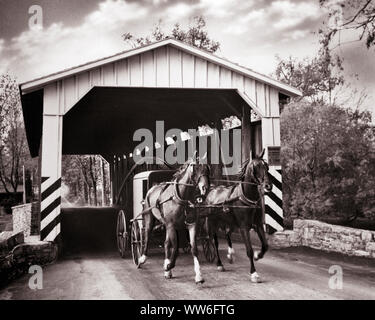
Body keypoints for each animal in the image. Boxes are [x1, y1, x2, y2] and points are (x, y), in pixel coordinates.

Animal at [137, 154, 210, 284]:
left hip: (166, 224)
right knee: (147, 235)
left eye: (207, 168)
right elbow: (175, 247)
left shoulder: (191, 224)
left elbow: (193, 248)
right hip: (149, 217)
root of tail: (152, 187)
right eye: (195, 167)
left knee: (166, 243)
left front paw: (198, 275)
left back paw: (167, 269)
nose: (204, 187)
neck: (180, 197)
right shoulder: (172, 225)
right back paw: (142, 259)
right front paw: (169, 265)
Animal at [203, 149, 274, 282]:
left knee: (227, 233)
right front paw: (254, 273)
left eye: (266, 166)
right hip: (213, 222)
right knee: (213, 241)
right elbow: (249, 250)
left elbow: (265, 245)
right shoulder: (244, 227)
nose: (268, 186)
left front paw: (258, 255)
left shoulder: (257, 225)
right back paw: (219, 263)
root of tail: (212, 190)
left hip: (230, 222)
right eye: (256, 166)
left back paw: (230, 254)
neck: (248, 198)